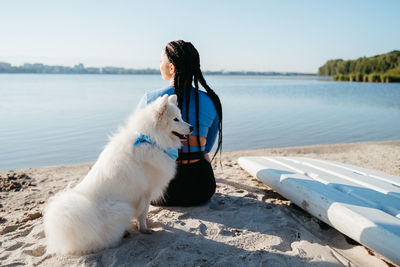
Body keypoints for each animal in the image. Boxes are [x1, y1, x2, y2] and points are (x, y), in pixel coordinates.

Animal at [43, 94, 192, 255]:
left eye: (181, 117)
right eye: (175, 119)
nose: (192, 127)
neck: (150, 139)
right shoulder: (145, 192)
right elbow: (143, 213)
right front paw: (144, 228)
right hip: (122, 208)